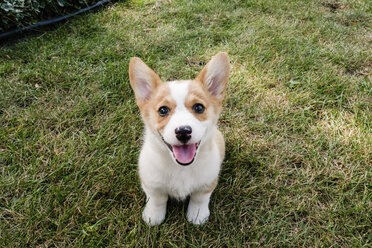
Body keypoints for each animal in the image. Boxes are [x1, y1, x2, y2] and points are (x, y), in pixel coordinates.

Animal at [130, 51, 230, 225]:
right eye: (163, 110)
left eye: (199, 107)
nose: (183, 131)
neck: (181, 168)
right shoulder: (151, 184)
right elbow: (157, 200)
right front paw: (153, 217)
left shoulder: (207, 182)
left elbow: (199, 198)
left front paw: (197, 215)